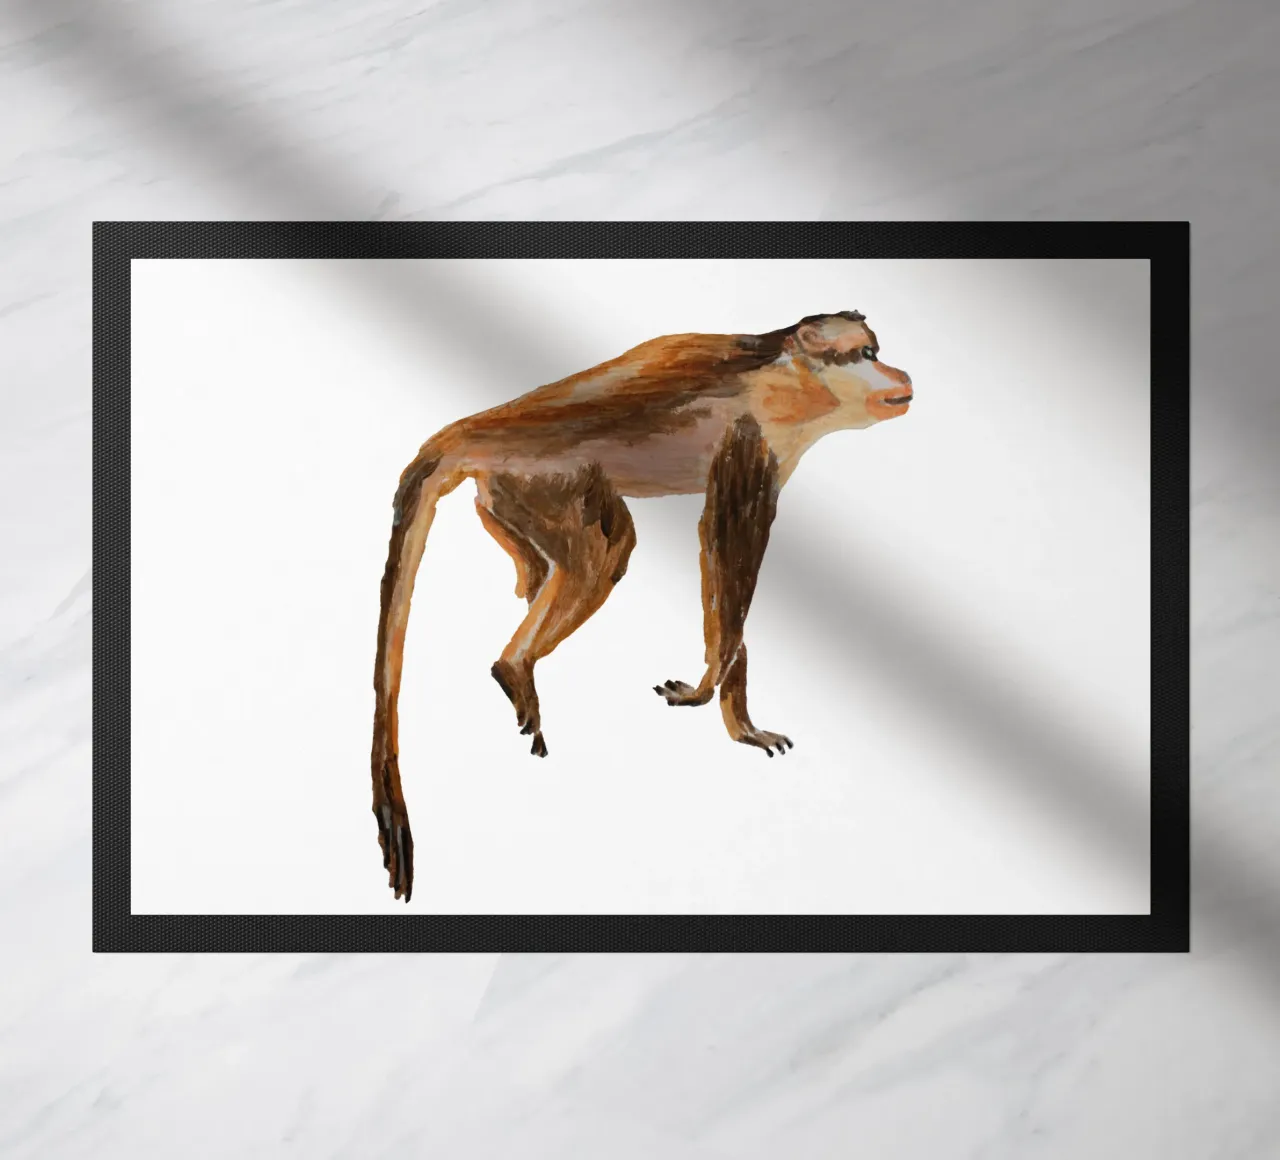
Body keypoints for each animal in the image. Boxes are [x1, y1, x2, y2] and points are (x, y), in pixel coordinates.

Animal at [371, 310, 913, 900]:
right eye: (867, 355)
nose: (898, 374)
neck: (787, 370)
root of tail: (470, 430)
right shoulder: (752, 433)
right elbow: (726, 544)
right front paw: (706, 690)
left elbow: (720, 565)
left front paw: (739, 720)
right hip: (543, 474)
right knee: (607, 550)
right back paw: (513, 665)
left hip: (505, 492)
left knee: (552, 558)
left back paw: (526, 608)